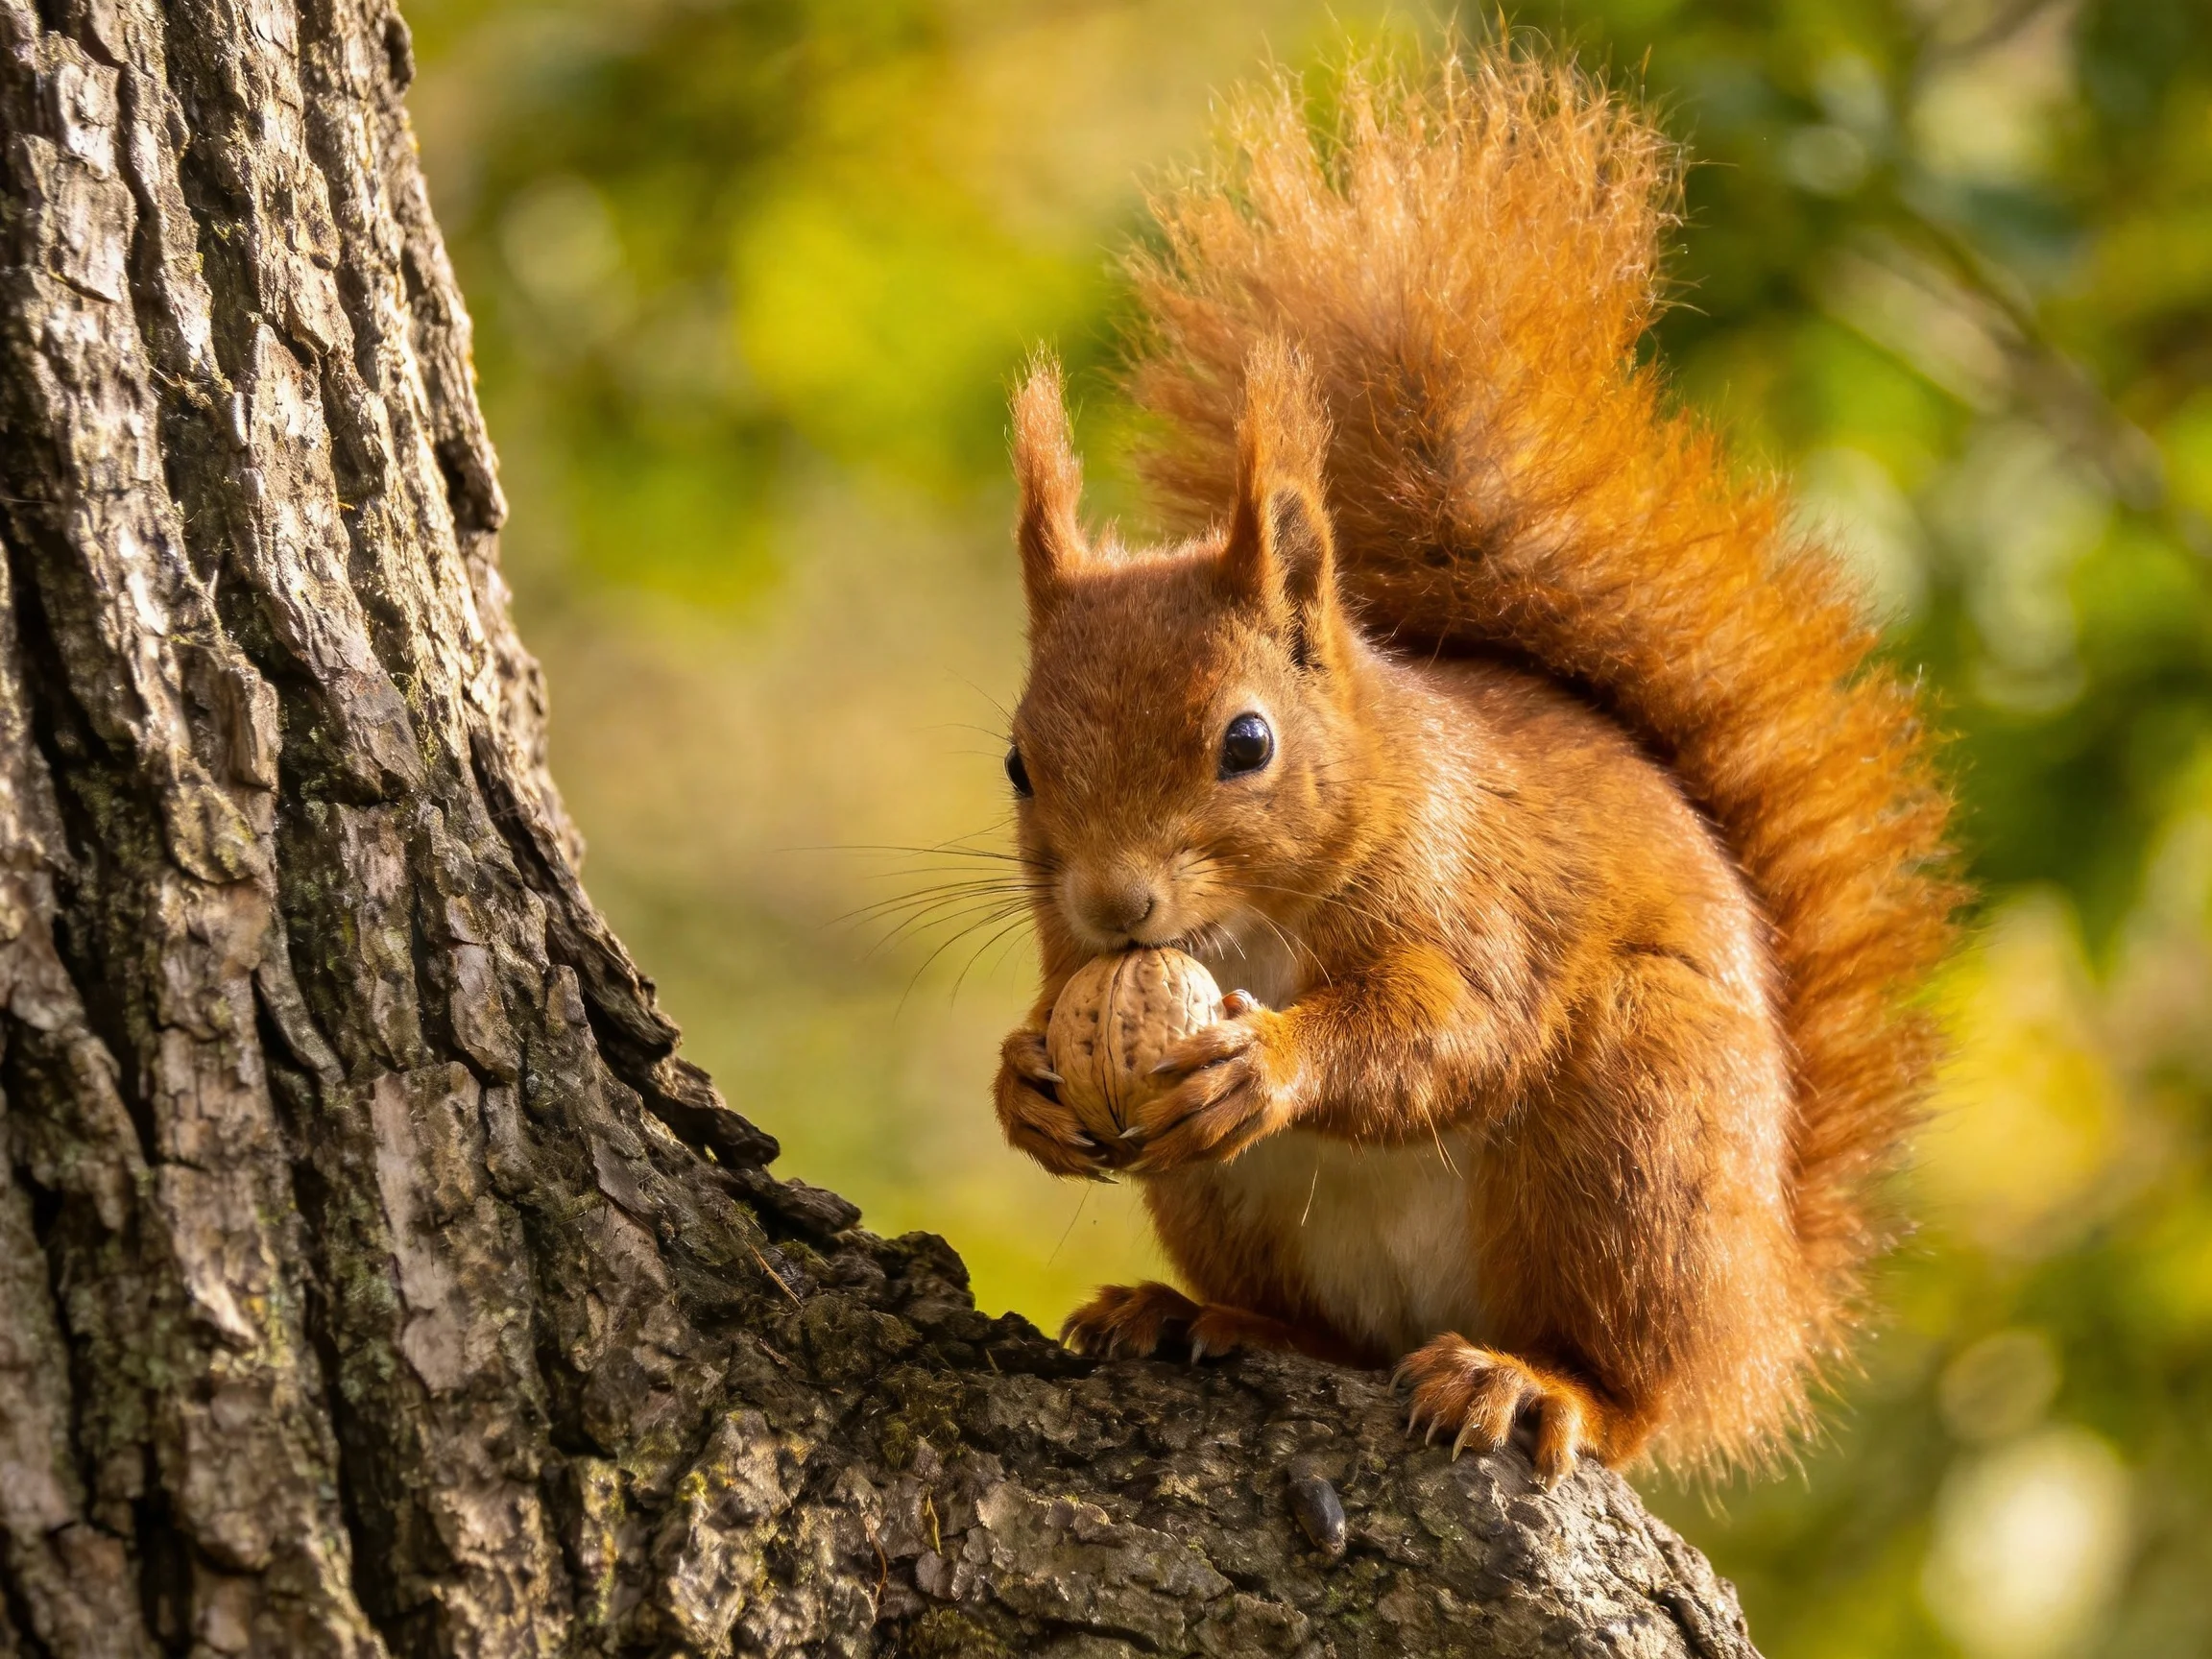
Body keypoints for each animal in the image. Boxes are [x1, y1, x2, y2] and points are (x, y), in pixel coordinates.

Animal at [989, 49, 1957, 1482]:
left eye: (1246, 743)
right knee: (1334, 1337)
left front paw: (1269, 1062)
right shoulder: (1073, 962)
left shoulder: (1470, 892)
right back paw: (1199, 1315)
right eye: (1017, 764)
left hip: (1638, 1133)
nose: (1118, 907)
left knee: (1636, 1389)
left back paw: (1539, 1385)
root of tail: (1765, 1315)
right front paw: (1023, 1087)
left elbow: (1457, 1034)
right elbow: (1054, 1018)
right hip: (1231, 1207)